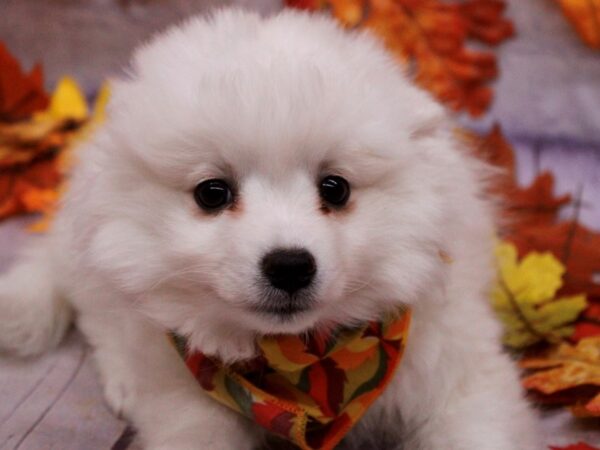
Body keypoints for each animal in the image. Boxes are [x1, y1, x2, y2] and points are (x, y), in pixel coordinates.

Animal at [0, 7, 540, 450]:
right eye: (212, 193)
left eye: (335, 188)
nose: (289, 266)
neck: (306, 364)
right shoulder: (188, 399)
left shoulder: (459, 369)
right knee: (98, 313)